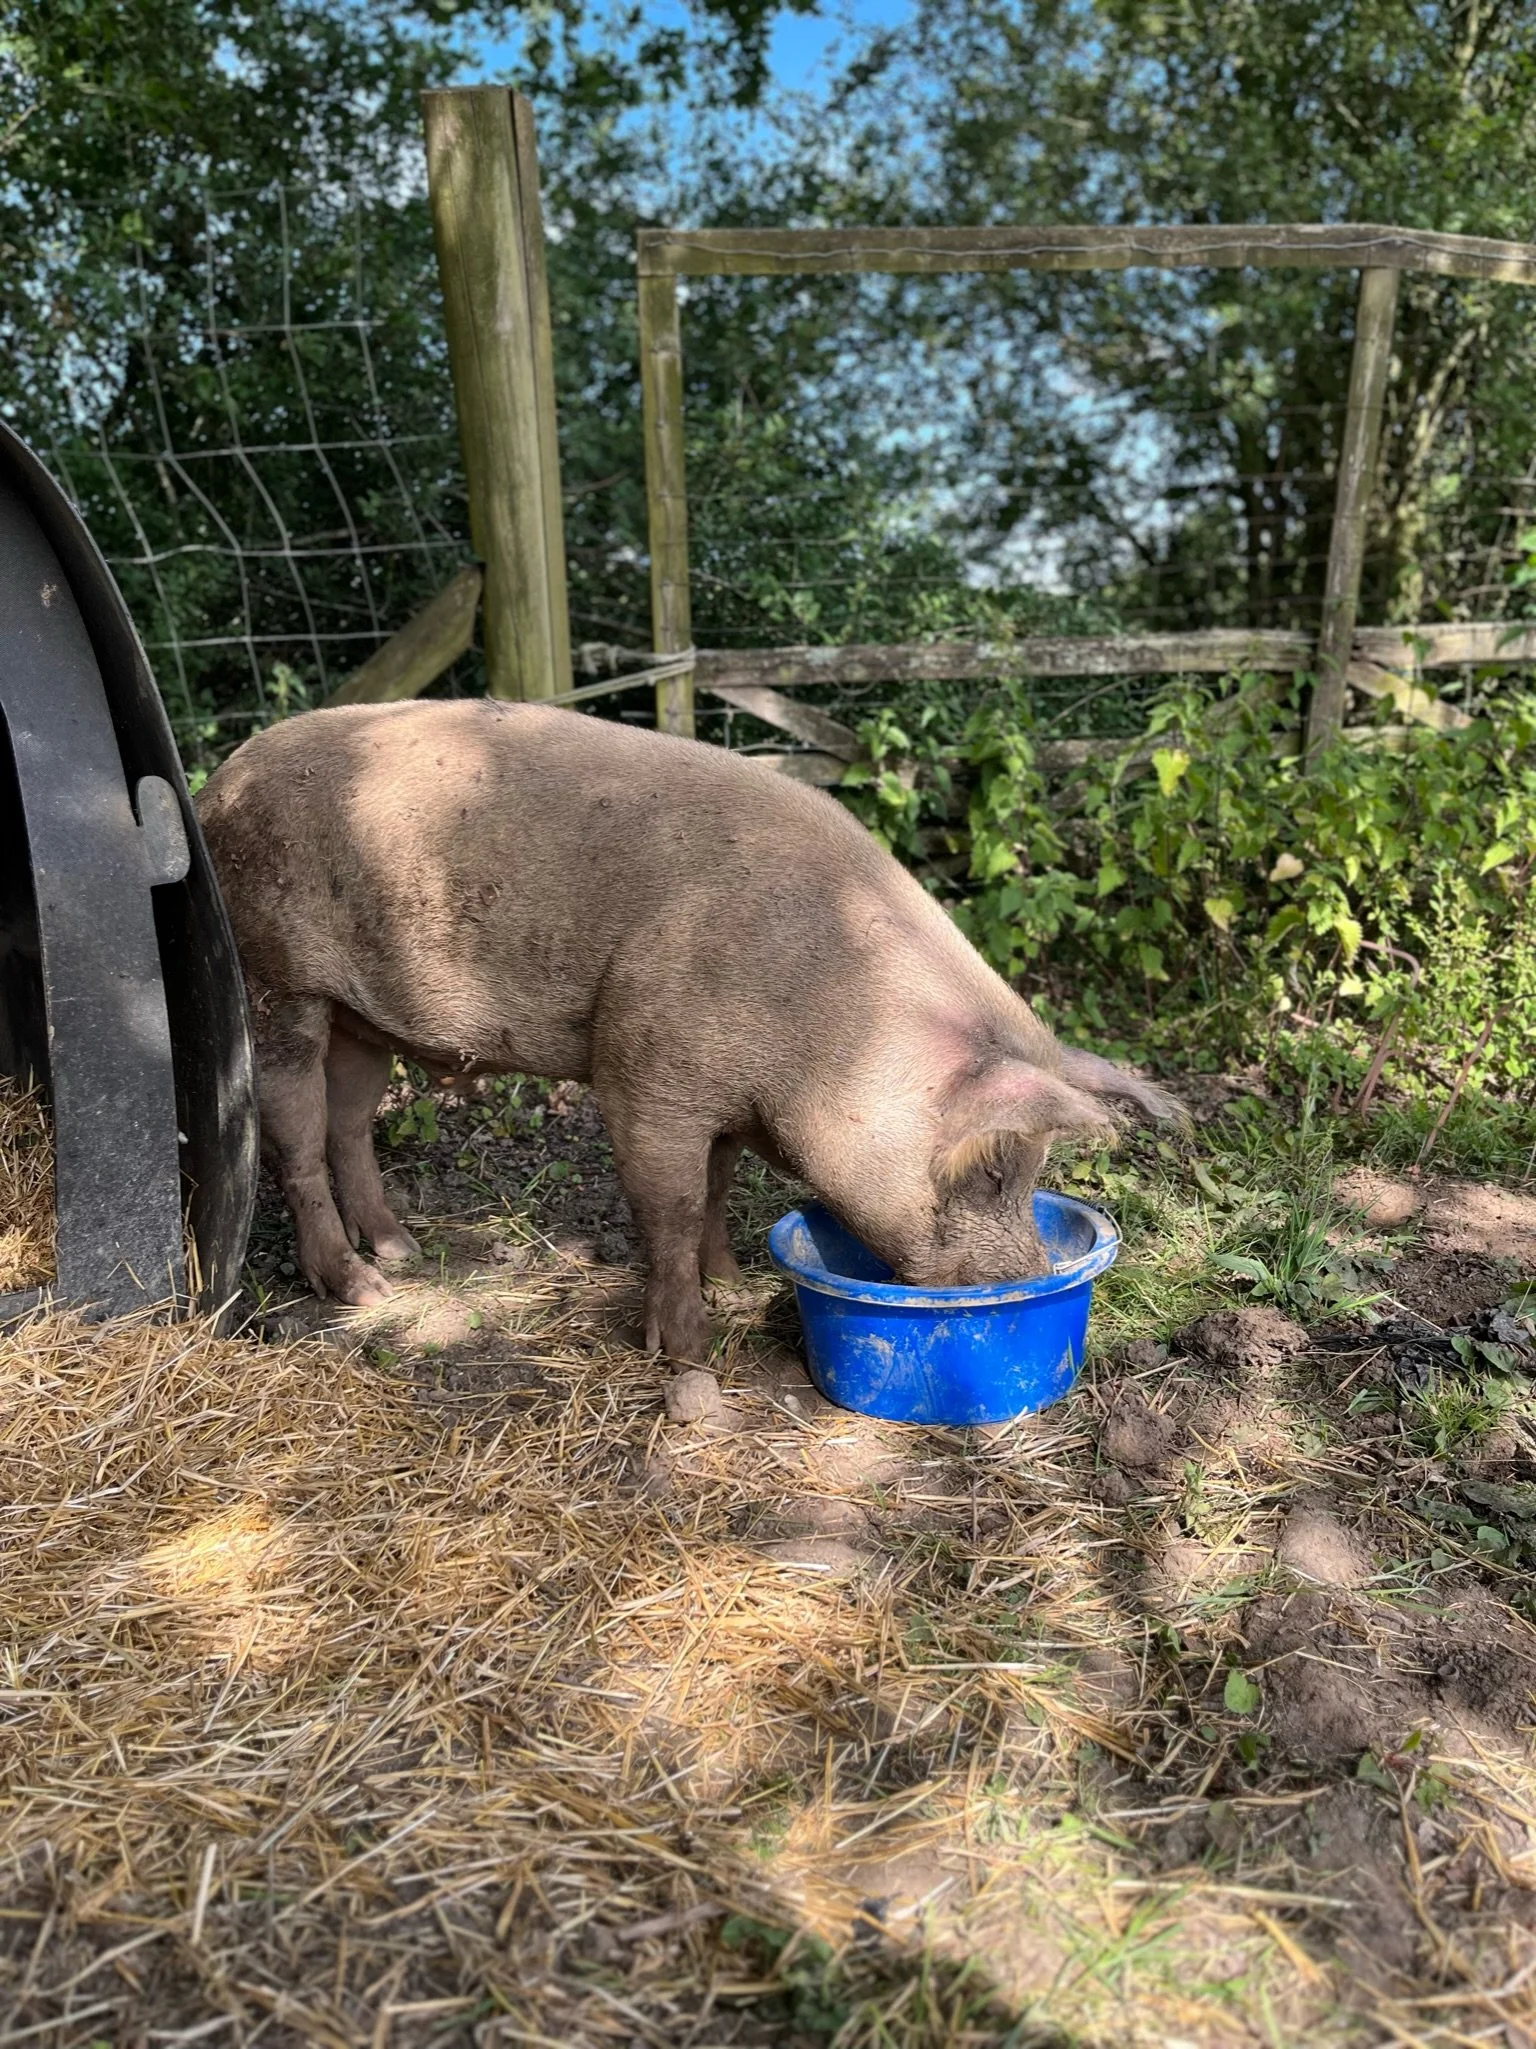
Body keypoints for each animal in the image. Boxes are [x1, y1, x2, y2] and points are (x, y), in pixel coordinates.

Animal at [196, 700, 1180, 1361]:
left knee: (350, 1119)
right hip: (277, 975)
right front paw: (686, 1352)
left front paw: (735, 1286)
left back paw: (402, 1248)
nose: (1021, 1274)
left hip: (362, 1014)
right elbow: (667, 1205)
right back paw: (361, 1289)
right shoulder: (643, 1069)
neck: (836, 1025)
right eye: (993, 1169)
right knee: (293, 1132)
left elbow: (715, 1187)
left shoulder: (725, 1096)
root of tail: (219, 783)